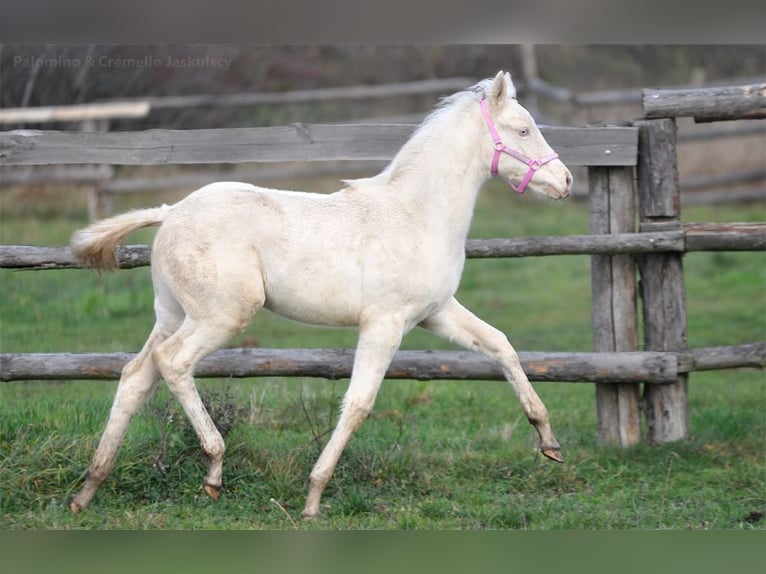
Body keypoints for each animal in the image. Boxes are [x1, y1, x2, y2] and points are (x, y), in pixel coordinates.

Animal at [68, 71, 573, 519]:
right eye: (523, 129)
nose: (566, 181)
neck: (416, 215)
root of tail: (171, 212)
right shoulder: (385, 323)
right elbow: (359, 404)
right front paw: (312, 498)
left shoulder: (436, 313)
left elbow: (501, 345)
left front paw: (549, 442)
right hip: (222, 315)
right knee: (171, 362)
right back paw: (212, 469)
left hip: (173, 313)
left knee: (136, 374)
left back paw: (88, 488)